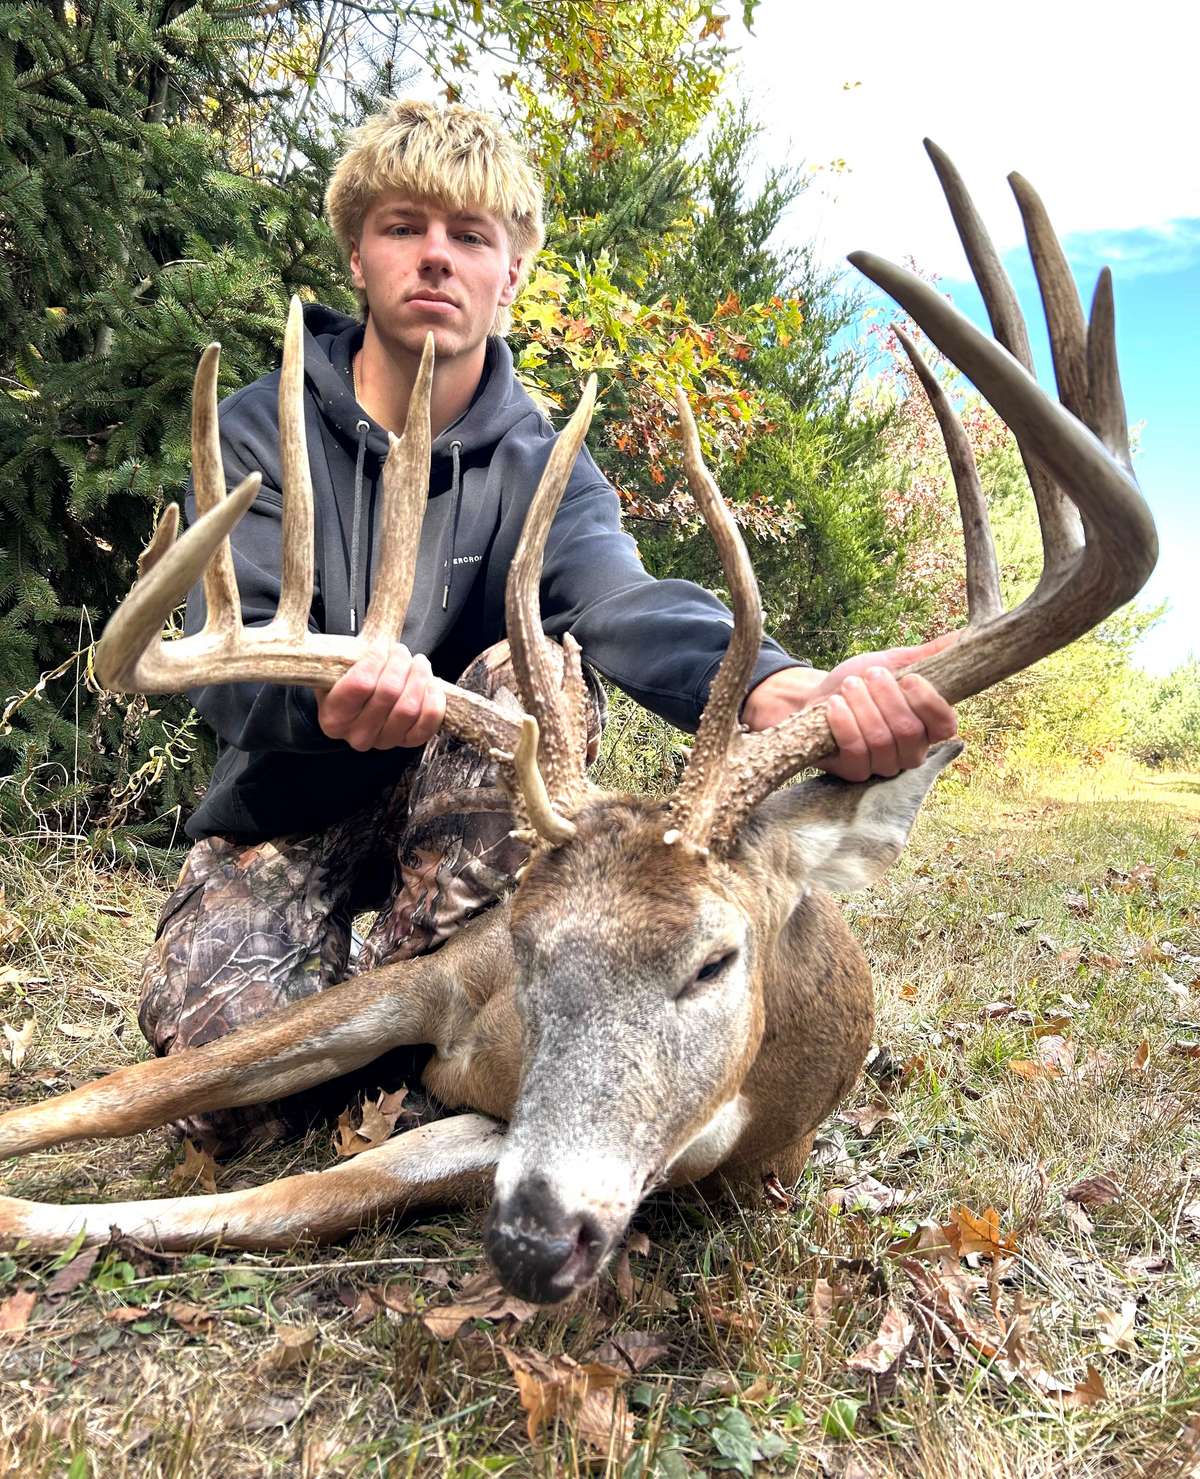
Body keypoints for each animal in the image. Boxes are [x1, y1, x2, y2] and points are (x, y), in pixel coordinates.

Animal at [0, 142, 1157, 1306]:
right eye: (526, 942)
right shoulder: (431, 977)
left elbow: (315, 1193)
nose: (532, 1239)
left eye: (715, 961)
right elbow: (127, 1090)